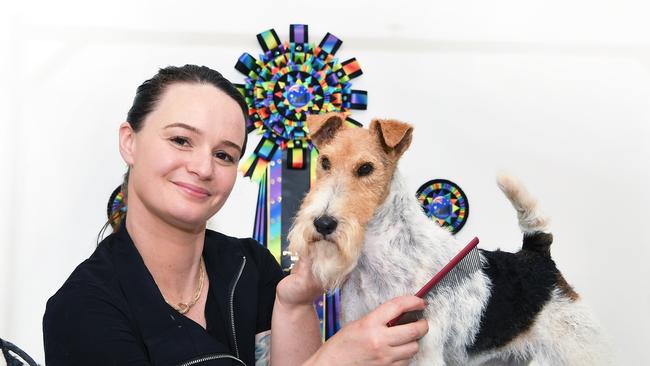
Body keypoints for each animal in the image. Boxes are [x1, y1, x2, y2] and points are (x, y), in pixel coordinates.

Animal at [286, 113, 604, 364]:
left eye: (366, 168)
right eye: (325, 161)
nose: (323, 223)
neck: (385, 255)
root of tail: (537, 253)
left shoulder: (424, 351)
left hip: (577, 348)